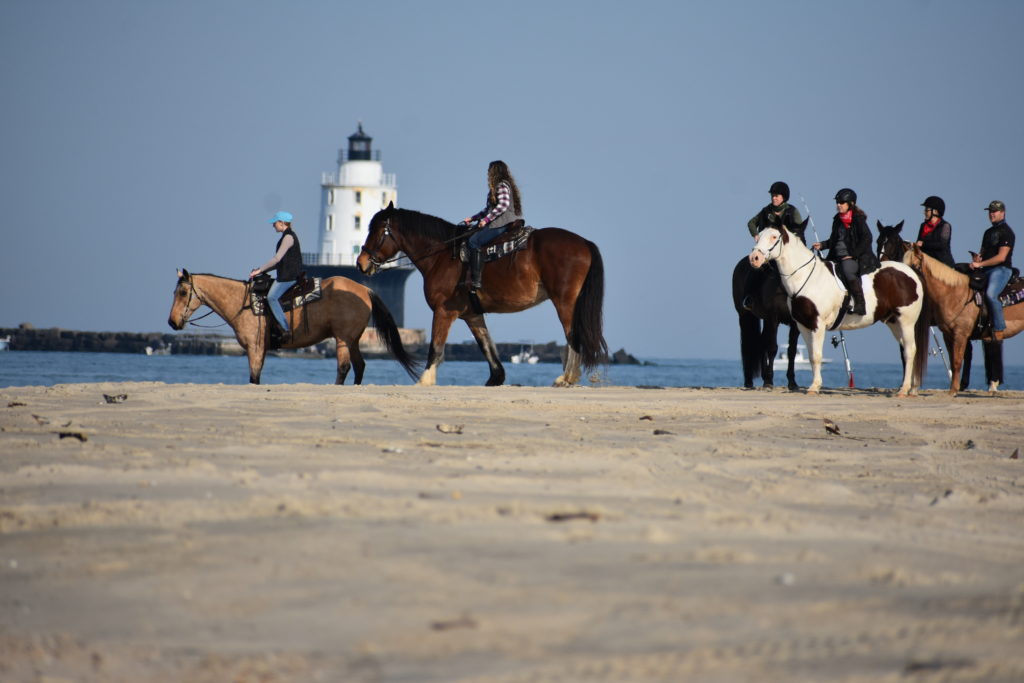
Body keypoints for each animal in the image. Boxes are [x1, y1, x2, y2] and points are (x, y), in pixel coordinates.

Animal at [167, 270, 419, 385]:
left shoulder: (254, 348)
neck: (244, 303)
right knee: (359, 366)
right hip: (353, 340)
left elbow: (254, 377)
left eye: (183, 292)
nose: (172, 321)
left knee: (344, 367)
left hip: (342, 339)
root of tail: (365, 289)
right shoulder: (260, 350)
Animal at [356, 204, 607, 387]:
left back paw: (566, 378)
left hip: (564, 302)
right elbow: (487, 346)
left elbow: (436, 347)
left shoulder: (443, 311)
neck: (443, 256)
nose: (361, 263)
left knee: (572, 336)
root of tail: (583, 243)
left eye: (376, 231)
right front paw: (496, 378)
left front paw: (425, 379)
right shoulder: (472, 315)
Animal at [750, 227, 928, 396]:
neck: (807, 277)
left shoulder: (818, 325)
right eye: (759, 235)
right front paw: (814, 385)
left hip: (906, 322)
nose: (754, 258)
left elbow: (816, 356)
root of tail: (911, 272)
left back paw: (904, 390)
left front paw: (814, 387)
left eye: (774, 237)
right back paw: (912, 388)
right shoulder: (803, 326)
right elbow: (811, 355)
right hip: (894, 322)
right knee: (907, 350)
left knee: (910, 351)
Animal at [901, 245, 1024, 394]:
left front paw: (954, 390)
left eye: (914, 266)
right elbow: (953, 361)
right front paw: (953, 388)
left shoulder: (961, 334)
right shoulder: (948, 335)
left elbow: (957, 361)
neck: (954, 295)